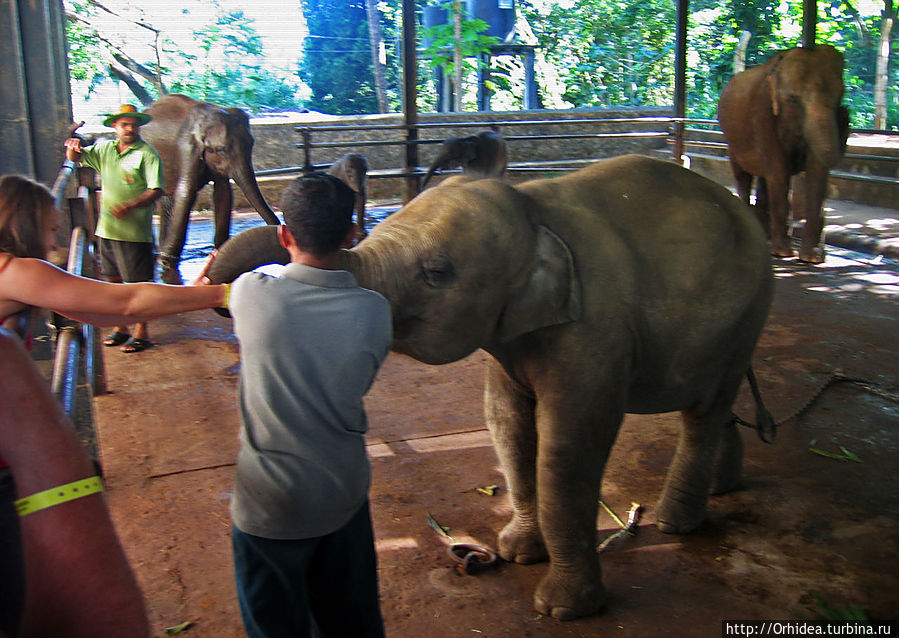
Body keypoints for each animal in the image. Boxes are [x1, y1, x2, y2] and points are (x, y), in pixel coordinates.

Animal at [204, 156, 772, 624]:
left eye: (436, 272)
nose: (217, 293)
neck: (534, 207)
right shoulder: (512, 335)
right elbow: (506, 422)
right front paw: (517, 552)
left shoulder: (595, 330)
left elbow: (568, 446)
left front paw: (563, 609)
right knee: (713, 404)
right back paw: (721, 487)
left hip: (748, 314)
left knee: (704, 412)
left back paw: (677, 524)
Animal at [716, 45, 852, 264]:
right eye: (793, 100)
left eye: (840, 95)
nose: (846, 113)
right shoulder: (762, 113)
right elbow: (779, 171)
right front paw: (782, 253)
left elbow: (816, 174)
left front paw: (812, 258)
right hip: (732, 141)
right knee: (744, 176)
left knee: (764, 179)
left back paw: (765, 234)